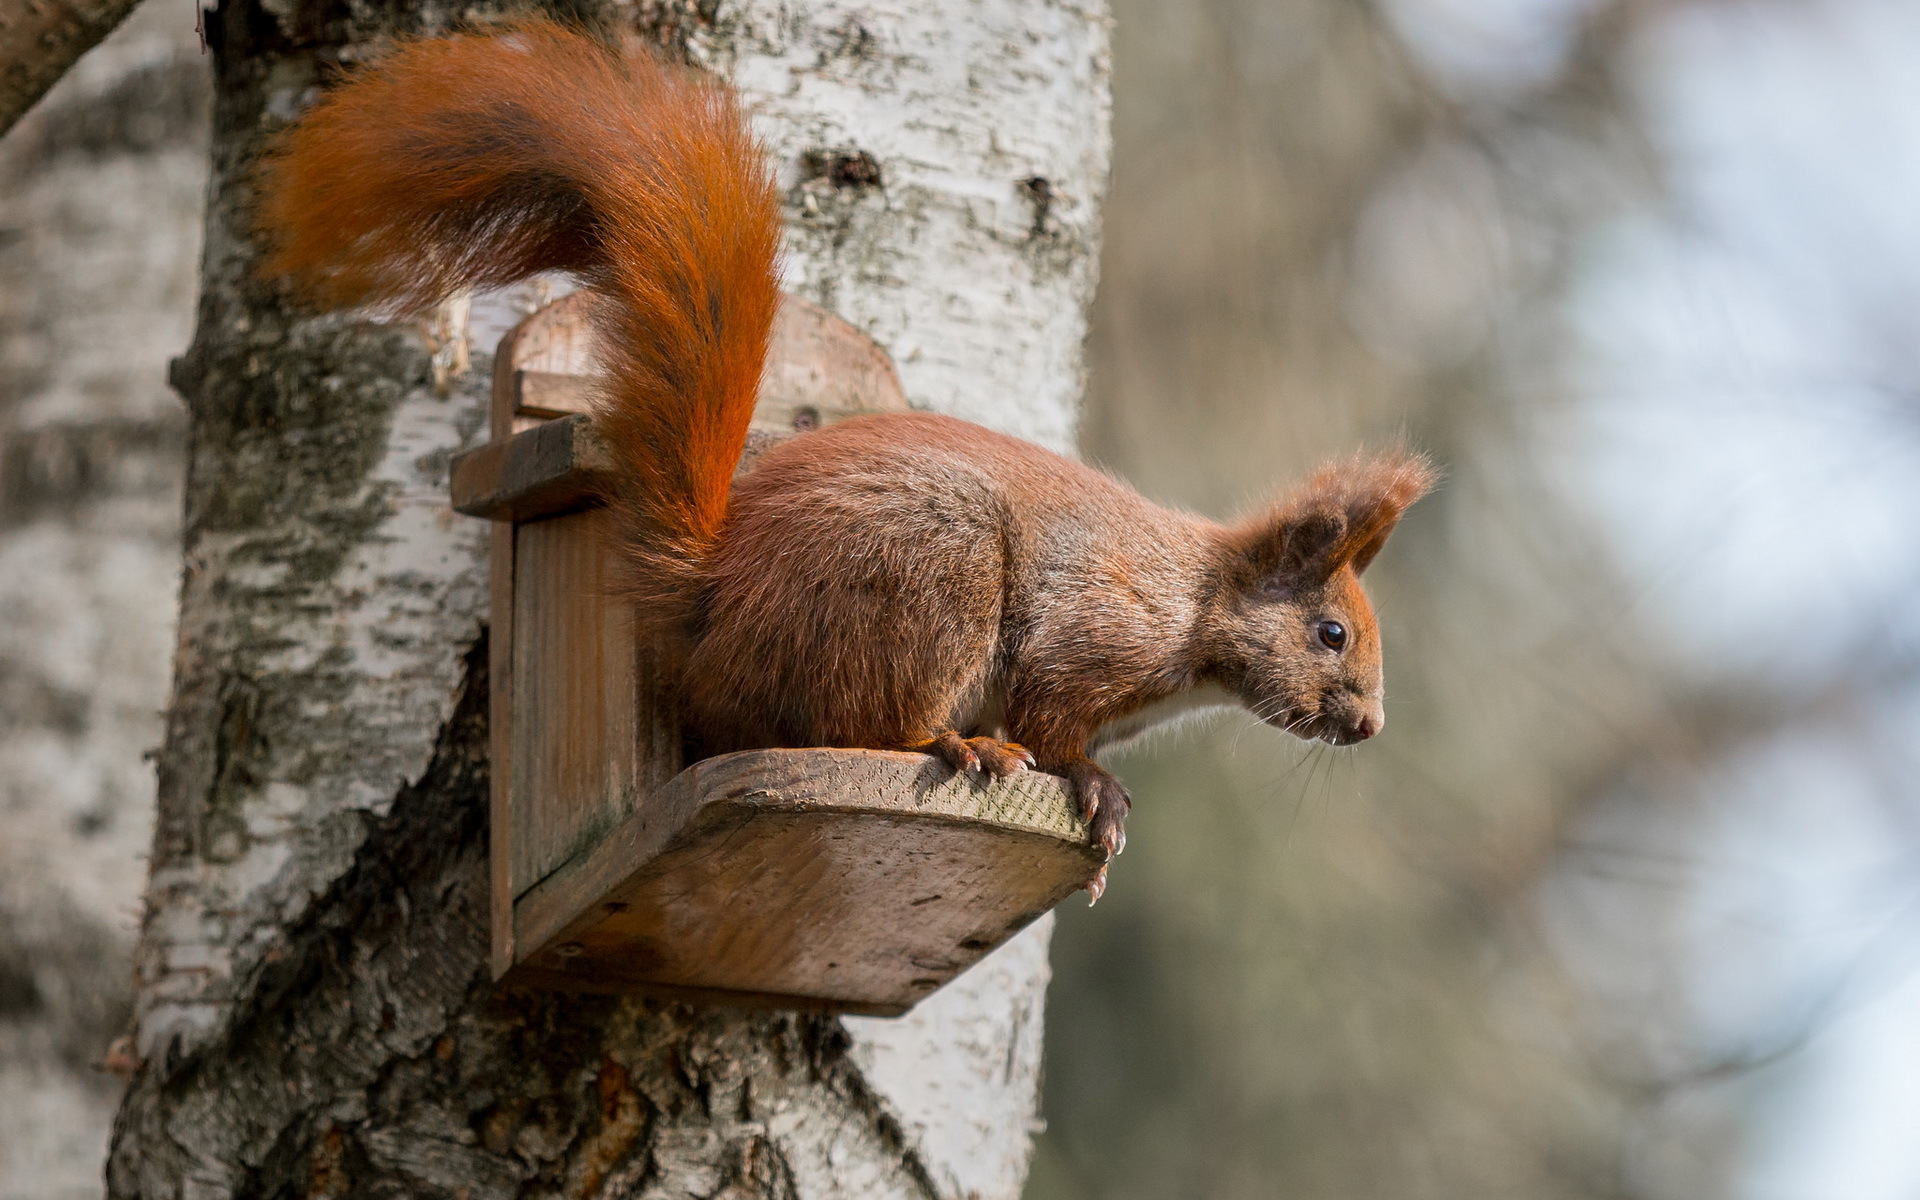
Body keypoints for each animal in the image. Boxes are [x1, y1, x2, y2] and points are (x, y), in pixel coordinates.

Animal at [251, 18, 1428, 890]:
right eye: (1330, 633)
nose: (1372, 726)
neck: (1194, 609)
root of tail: (711, 610)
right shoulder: (1095, 630)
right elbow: (1054, 713)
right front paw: (1092, 785)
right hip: (927, 575)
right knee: (856, 721)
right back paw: (953, 746)